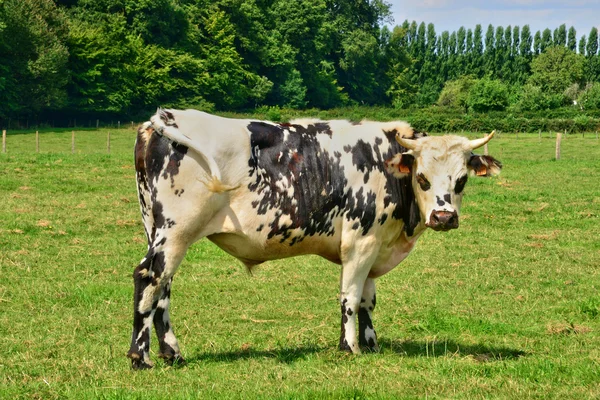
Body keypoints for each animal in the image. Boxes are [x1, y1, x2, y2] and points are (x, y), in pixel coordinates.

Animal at [126, 108, 502, 368]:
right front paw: (349, 347)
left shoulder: (375, 243)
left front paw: (371, 344)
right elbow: (350, 297)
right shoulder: (360, 242)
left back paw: (171, 353)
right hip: (176, 230)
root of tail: (164, 118)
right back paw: (140, 357)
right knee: (149, 277)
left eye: (462, 180)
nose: (444, 217)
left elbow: (367, 300)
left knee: (162, 289)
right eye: (422, 177)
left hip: (158, 230)